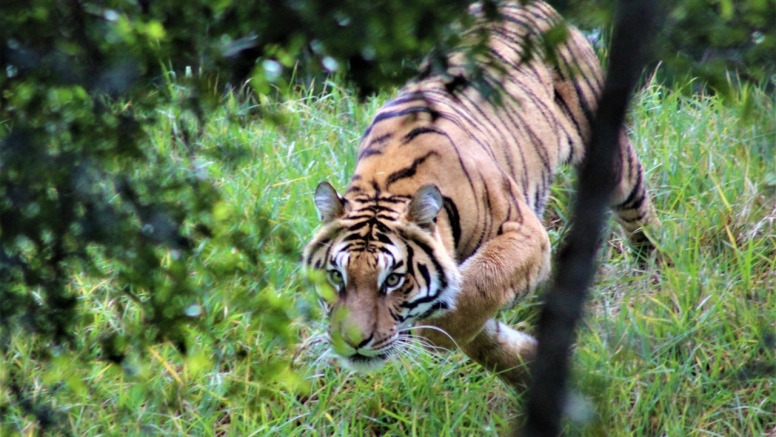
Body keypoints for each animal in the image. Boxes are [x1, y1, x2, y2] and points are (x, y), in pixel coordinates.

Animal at [300, 0, 656, 388]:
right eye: (337, 276)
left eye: (393, 279)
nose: (353, 343)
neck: (384, 184)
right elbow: (479, 331)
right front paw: (527, 364)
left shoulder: (524, 231)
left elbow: (479, 287)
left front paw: (436, 336)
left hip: (609, 153)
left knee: (640, 214)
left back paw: (657, 273)